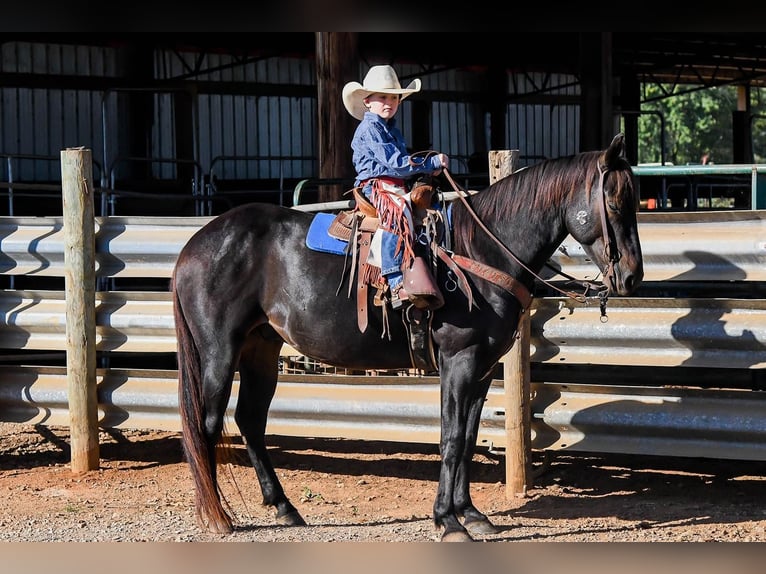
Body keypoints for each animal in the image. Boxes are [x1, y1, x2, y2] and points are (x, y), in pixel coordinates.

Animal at [171, 135, 644, 544]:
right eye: (614, 202)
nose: (632, 277)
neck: (480, 253)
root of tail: (194, 246)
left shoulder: (483, 369)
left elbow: (467, 438)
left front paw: (470, 513)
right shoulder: (459, 362)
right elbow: (450, 438)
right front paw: (447, 521)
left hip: (261, 348)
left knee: (250, 419)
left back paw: (285, 508)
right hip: (218, 350)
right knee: (207, 422)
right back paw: (218, 517)